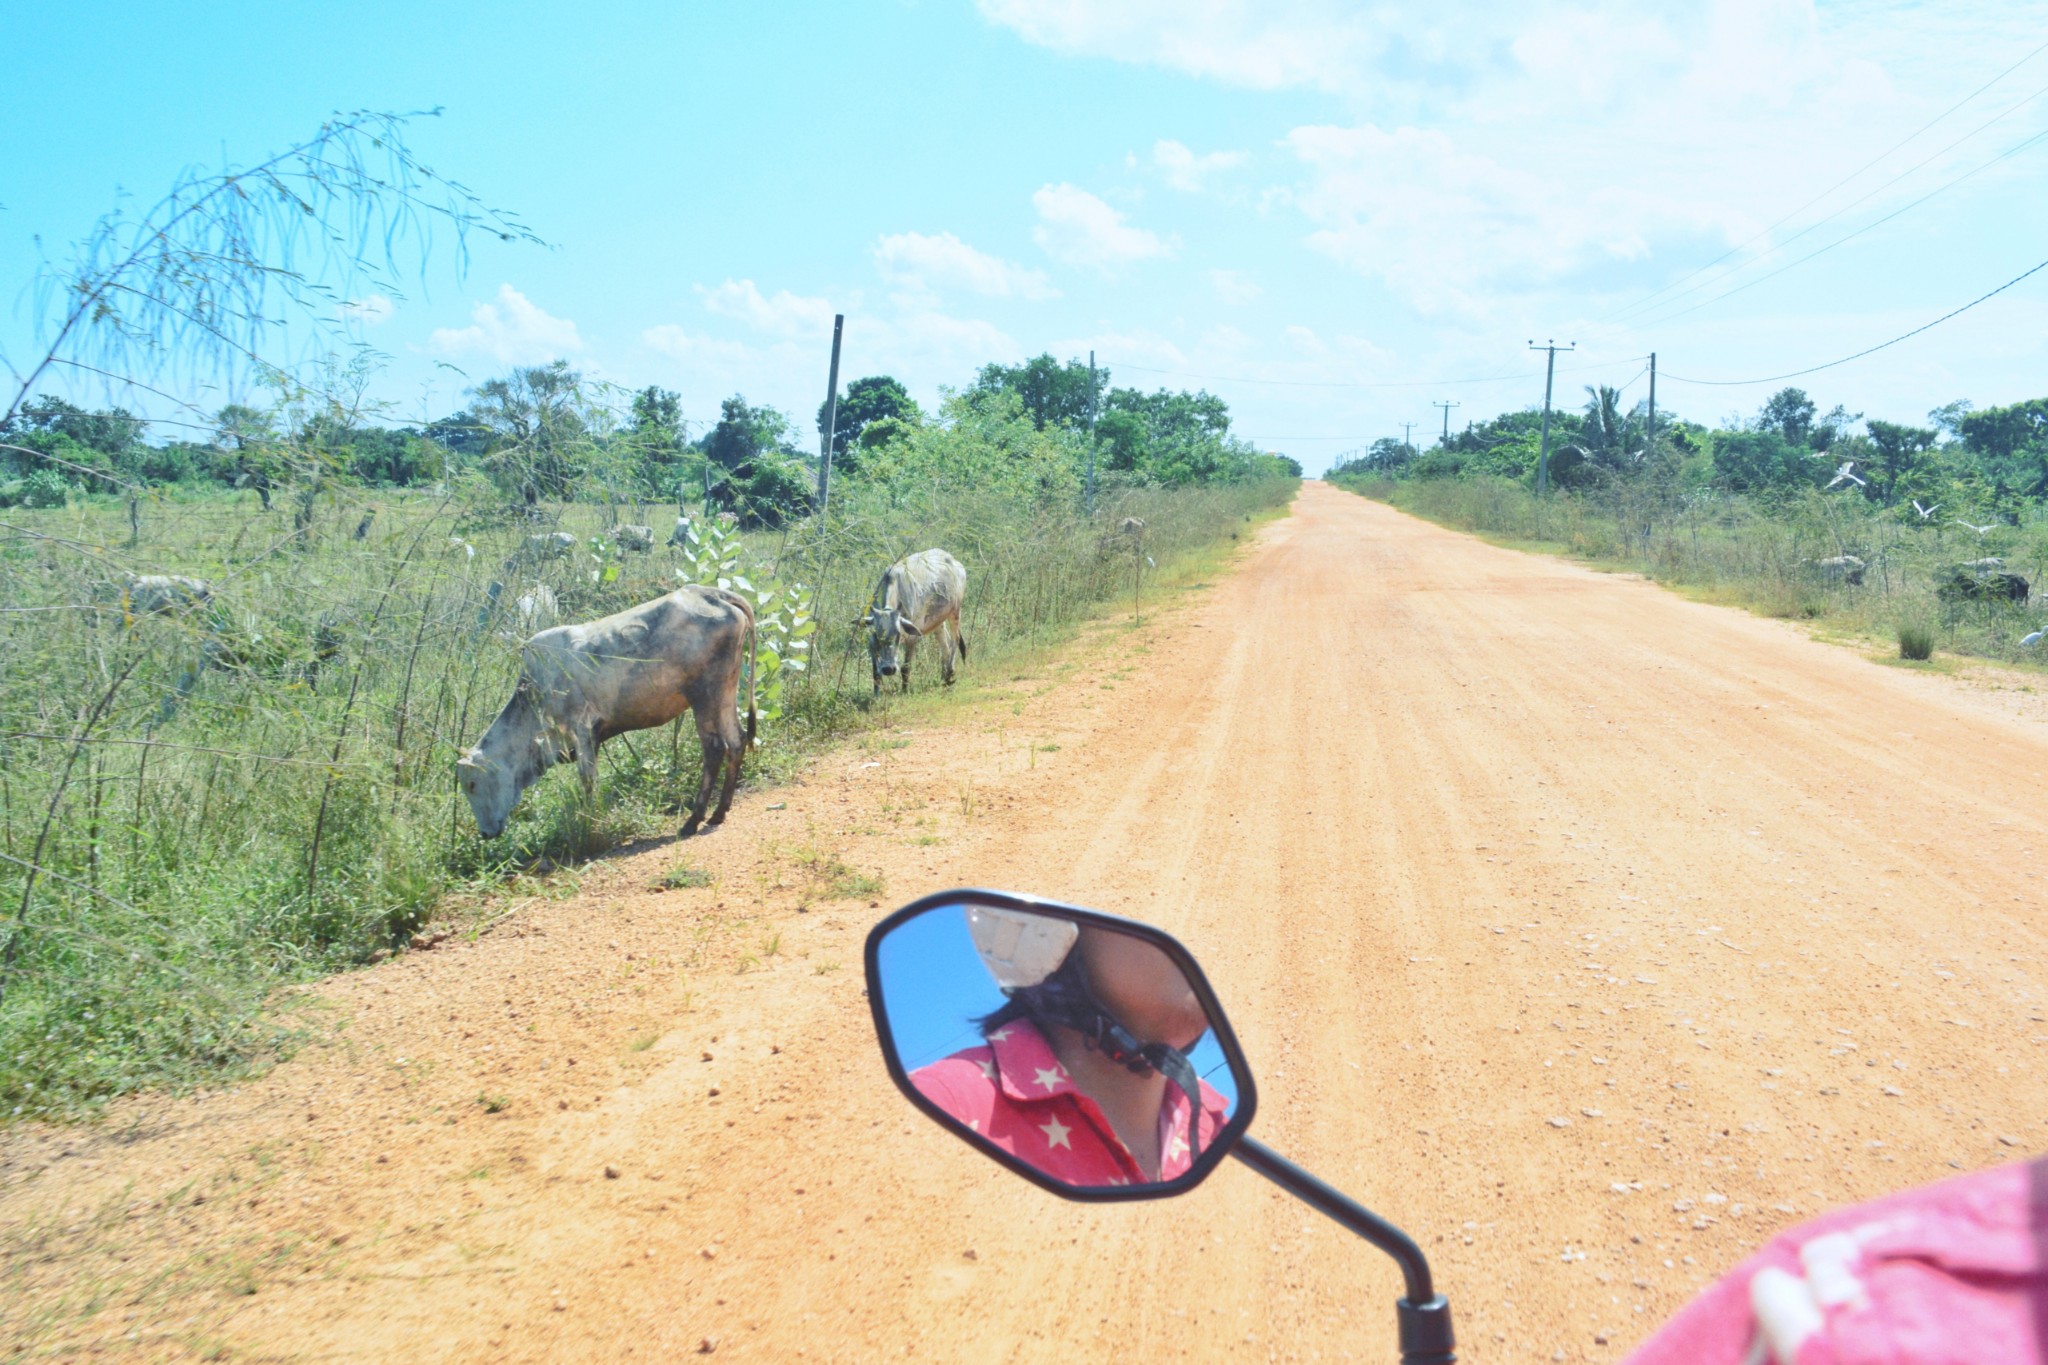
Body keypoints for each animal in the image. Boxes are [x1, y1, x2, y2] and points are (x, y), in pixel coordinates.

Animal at [856, 548, 966, 695]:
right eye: (877, 635)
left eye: (897, 634)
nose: (888, 669)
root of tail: (954, 561)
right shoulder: (872, 642)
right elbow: (875, 673)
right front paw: (876, 695)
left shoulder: (912, 637)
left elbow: (905, 668)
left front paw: (904, 691)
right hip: (938, 622)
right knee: (945, 645)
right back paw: (944, 677)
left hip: (955, 611)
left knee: (955, 639)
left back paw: (950, 674)